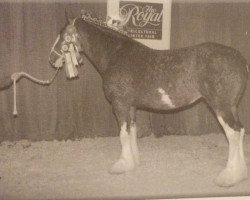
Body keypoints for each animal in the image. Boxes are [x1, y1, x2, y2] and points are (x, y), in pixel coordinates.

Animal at [48, 11, 248, 187]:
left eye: (63, 36)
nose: (51, 59)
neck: (115, 55)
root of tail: (240, 59)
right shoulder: (130, 107)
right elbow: (131, 132)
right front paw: (133, 162)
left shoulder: (120, 105)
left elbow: (122, 134)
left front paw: (121, 165)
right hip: (231, 107)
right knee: (241, 131)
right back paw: (241, 173)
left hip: (221, 106)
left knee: (233, 134)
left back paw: (228, 176)